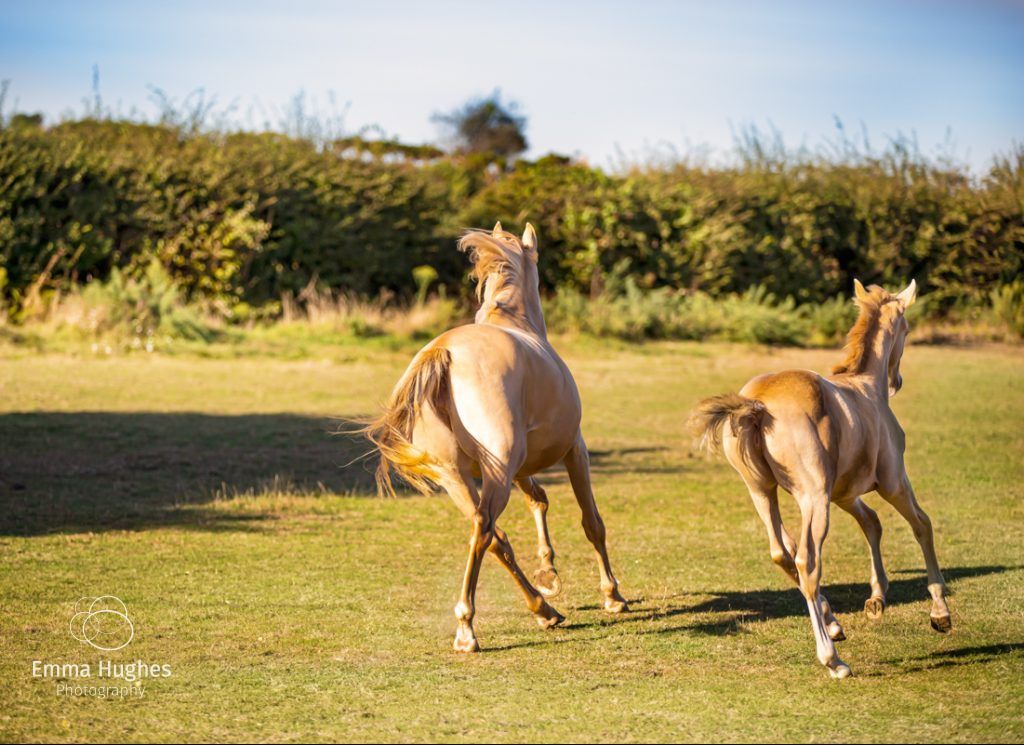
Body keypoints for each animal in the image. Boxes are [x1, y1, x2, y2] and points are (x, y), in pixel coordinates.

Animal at [360, 221, 630, 650]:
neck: (514, 321)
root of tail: (444, 352)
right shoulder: (576, 450)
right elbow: (593, 522)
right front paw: (613, 595)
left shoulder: (522, 468)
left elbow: (539, 500)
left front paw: (549, 574)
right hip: (498, 474)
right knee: (485, 530)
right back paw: (468, 628)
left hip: (457, 477)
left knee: (494, 536)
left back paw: (544, 609)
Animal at [688, 278, 950, 675]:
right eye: (906, 329)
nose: (897, 380)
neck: (865, 387)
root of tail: (758, 407)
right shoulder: (892, 483)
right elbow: (922, 525)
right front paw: (940, 612)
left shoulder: (844, 493)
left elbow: (872, 523)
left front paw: (876, 599)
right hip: (814, 499)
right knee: (807, 561)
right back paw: (832, 659)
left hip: (762, 491)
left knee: (782, 552)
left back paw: (833, 625)